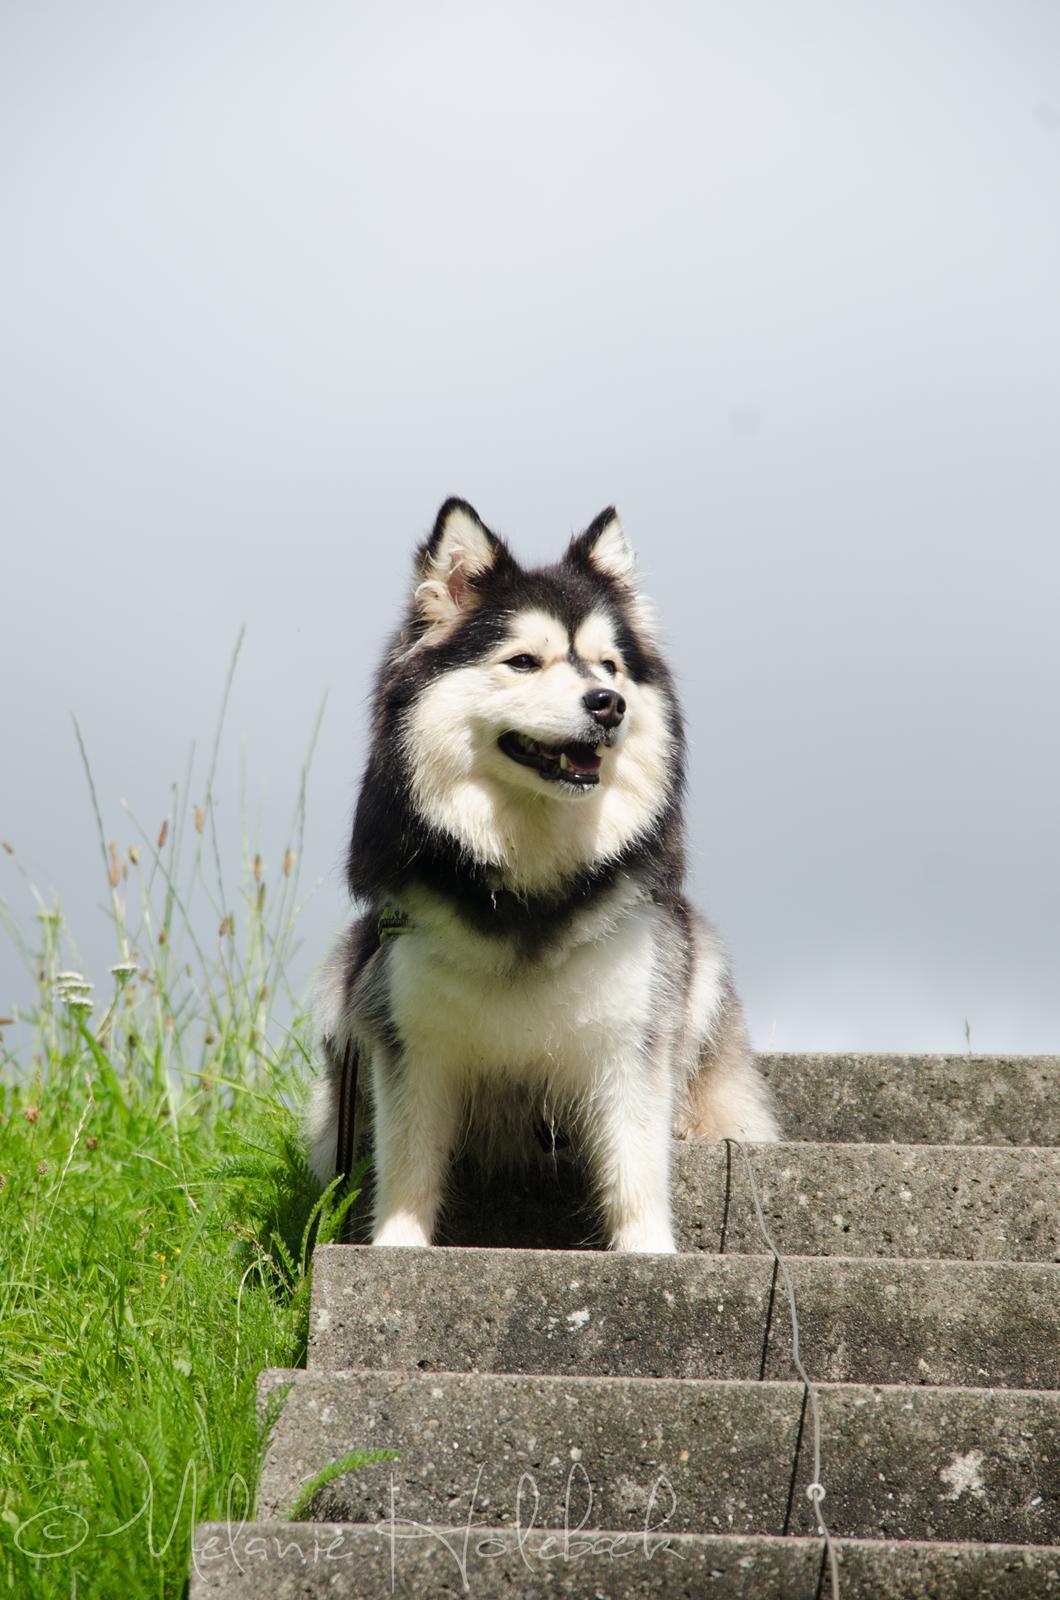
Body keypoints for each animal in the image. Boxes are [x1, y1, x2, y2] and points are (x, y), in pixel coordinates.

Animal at [307, 499, 781, 1248]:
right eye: (524, 662)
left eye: (610, 666)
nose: (607, 703)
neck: (530, 879)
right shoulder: (410, 1037)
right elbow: (407, 1163)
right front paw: (396, 1247)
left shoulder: (630, 1036)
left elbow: (635, 1164)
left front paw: (649, 1252)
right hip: (343, 979)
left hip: (697, 961)